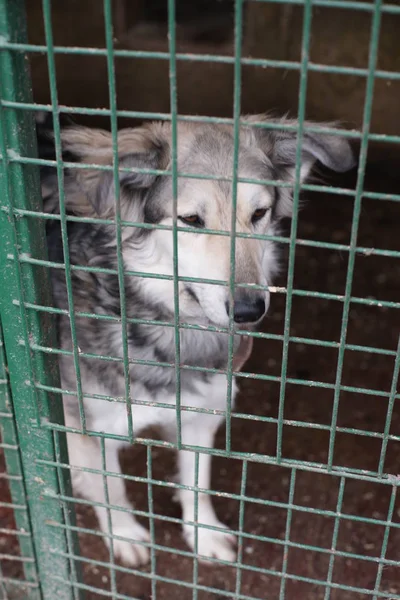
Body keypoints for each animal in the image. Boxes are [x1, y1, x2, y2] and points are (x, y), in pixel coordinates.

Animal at [38, 113, 354, 568]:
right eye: (190, 220)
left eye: (259, 213)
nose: (249, 310)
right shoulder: (86, 426)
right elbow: (111, 487)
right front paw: (124, 535)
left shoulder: (202, 415)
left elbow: (197, 483)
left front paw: (202, 534)